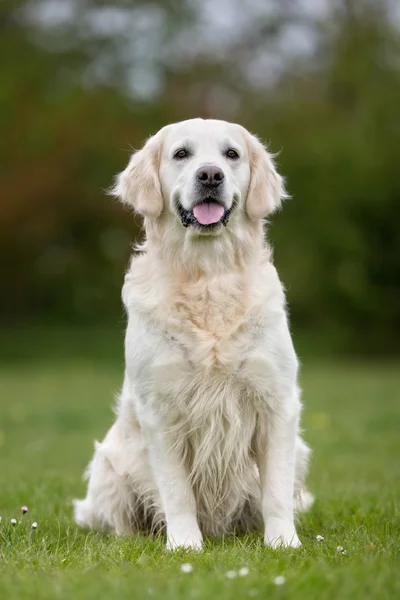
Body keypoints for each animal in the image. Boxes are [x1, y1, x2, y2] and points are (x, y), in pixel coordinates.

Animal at [73, 116, 314, 548]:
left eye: (231, 154)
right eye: (181, 153)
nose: (210, 175)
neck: (207, 276)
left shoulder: (276, 401)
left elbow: (276, 491)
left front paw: (283, 543)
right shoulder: (160, 408)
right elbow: (176, 491)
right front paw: (185, 545)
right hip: (109, 466)